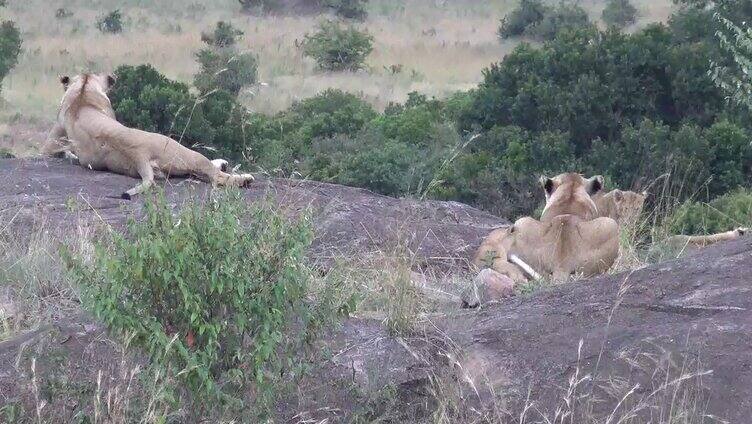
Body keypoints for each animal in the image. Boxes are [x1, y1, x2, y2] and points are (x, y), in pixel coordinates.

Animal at [41, 73, 253, 199]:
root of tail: (139, 155)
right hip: (184, 152)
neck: (82, 94)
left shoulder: (50, 144)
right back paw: (243, 178)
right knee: (215, 175)